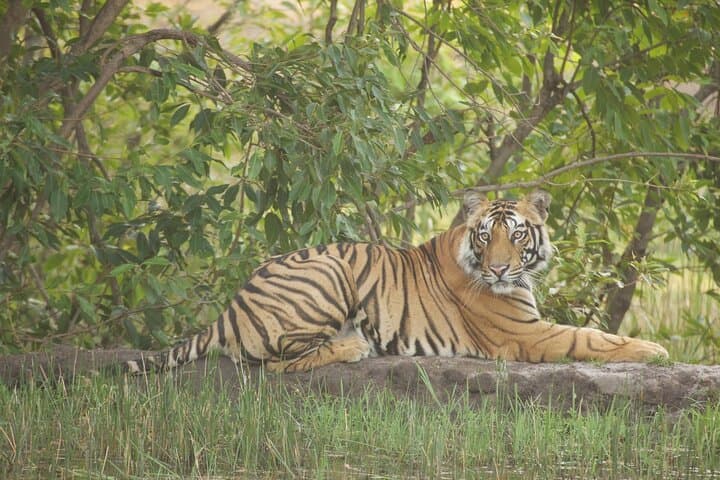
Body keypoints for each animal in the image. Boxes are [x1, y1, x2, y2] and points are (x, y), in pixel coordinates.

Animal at [124, 190, 669, 374]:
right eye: (486, 235)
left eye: (516, 234)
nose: (497, 270)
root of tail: (229, 308)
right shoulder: (526, 334)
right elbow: (593, 338)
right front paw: (656, 351)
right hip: (328, 272)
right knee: (273, 364)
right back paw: (353, 347)